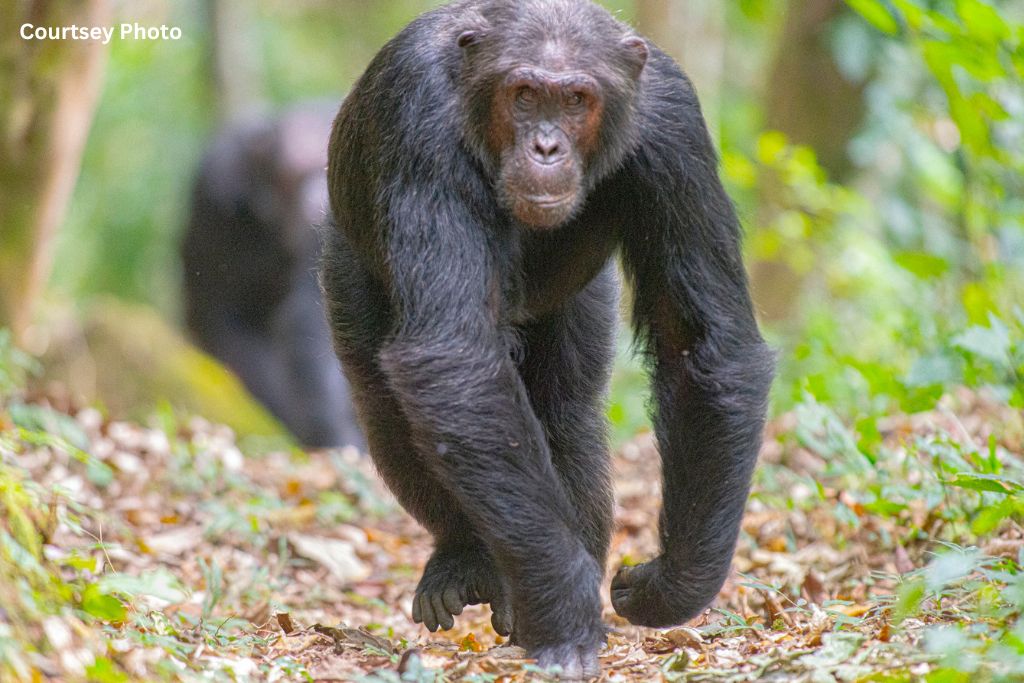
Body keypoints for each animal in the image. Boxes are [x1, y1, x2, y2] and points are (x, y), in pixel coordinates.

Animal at [319, 0, 770, 679]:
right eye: (525, 95)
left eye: (578, 99)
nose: (547, 145)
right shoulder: (418, 122)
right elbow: (455, 358)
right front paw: (565, 614)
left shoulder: (675, 128)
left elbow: (700, 341)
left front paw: (665, 585)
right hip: (346, 261)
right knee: (389, 403)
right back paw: (466, 562)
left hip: (575, 301)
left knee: (567, 411)